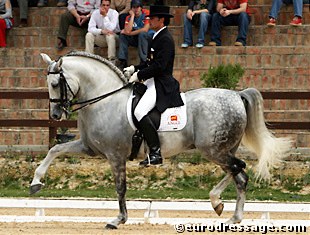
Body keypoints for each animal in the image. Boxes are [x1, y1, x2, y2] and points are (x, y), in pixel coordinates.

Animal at [30, 51, 292, 229]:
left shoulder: (115, 155)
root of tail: (236, 95)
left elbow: (120, 187)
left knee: (240, 170)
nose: (56, 115)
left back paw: (226, 210)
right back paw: (225, 210)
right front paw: (36, 183)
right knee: (237, 173)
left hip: (213, 150)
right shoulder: (89, 148)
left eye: (55, 84)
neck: (104, 99)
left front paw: (118, 219)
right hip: (221, 149)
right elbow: (55, 149)